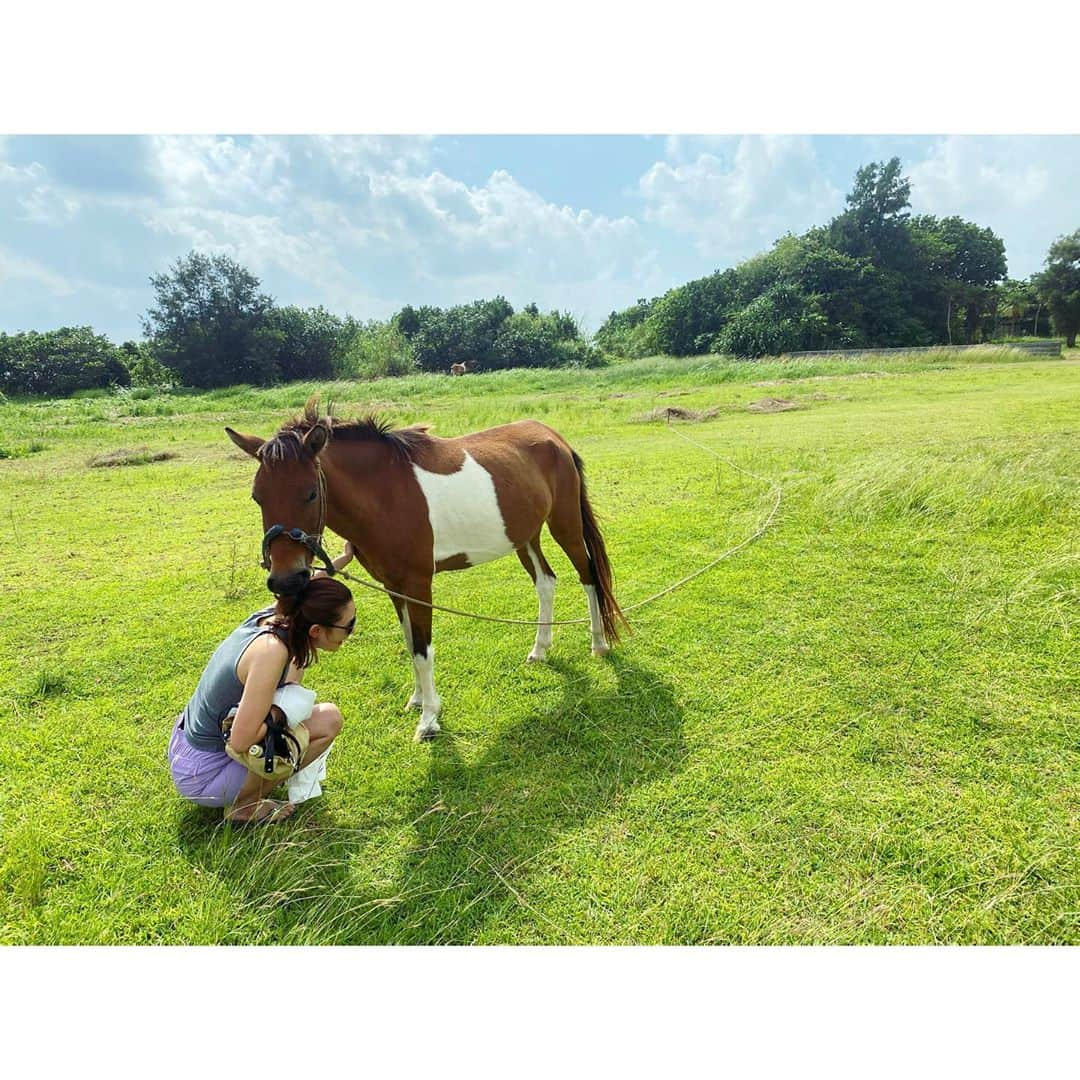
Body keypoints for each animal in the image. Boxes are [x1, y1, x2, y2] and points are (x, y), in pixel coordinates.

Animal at [227, 406, 630, 743]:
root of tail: (552, 436)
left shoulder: (418, 585)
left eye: (311, 494)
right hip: (525, 536)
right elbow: (409, 643)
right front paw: (418, 700)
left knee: (588, 577)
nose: (286, 581)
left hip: (565, 525)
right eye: (257, 497)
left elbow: (422, 650)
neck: (386, 493)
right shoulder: (394, 587)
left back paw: (598, 643)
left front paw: (430, 720)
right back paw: (540, 650)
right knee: (546, 583)